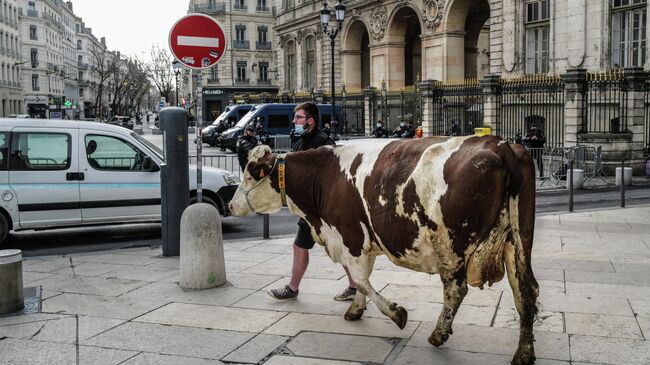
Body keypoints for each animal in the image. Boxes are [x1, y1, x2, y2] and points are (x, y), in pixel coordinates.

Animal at [228, 136, 536, 364]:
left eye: (248, 175)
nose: (230, 205)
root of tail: (499, 144)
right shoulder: (361, 241)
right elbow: (361, 281)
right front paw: (355, 309)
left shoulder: (351, 237)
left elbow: (362, 280)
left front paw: (397, 314)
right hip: (518, 241)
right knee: (525, 290)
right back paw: (524, 353)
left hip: (450, 243)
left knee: (455, 290)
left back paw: (438, 334)